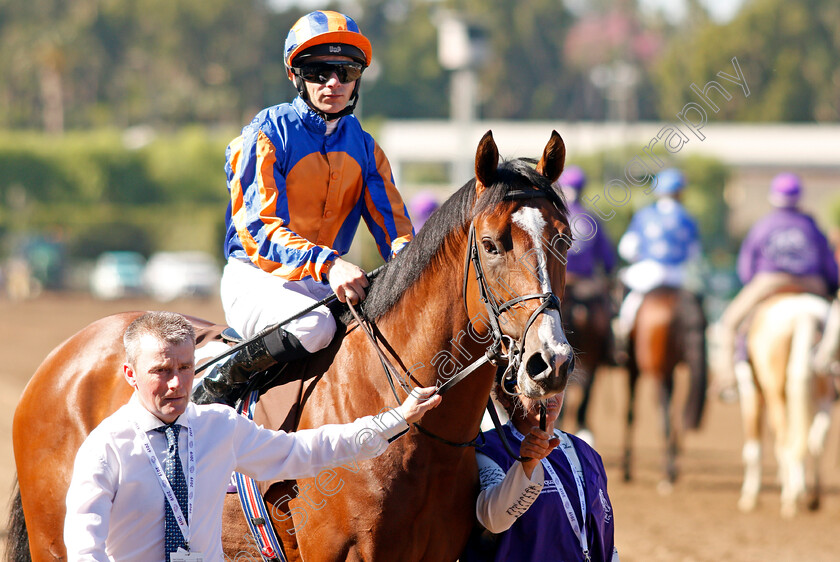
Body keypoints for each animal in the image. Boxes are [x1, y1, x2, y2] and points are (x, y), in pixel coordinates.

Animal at [620, 284, 704, 486]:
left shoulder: (635, 369)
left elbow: (630, 414)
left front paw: (626, 470)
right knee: (676, 414)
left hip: (660, 373)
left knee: (665, 417)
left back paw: (668, 472)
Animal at [740, 294, 836, 516]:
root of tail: (804, 313)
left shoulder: (750, 395)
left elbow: (753, 450)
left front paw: (749, 497)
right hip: (823, 394)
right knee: (815, 440)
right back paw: (811, 497)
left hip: (775, 394)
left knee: (786, 440)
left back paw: (791, 497)